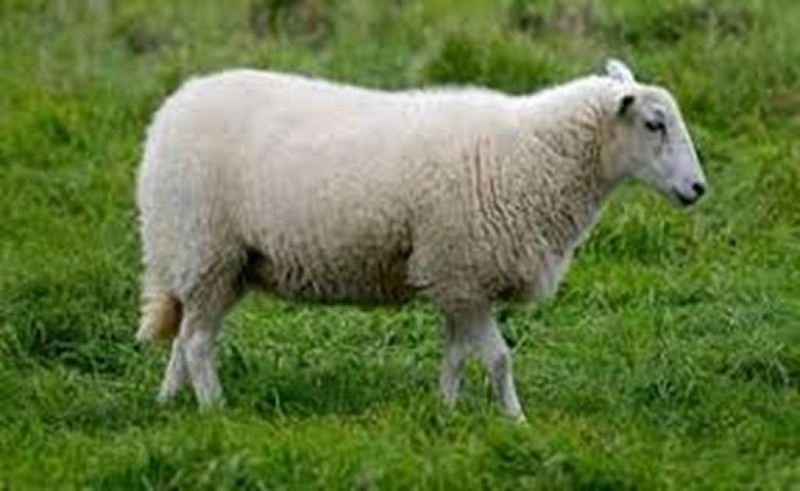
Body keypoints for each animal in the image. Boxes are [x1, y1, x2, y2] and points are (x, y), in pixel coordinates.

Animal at [135, 59, 707, 420]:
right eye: (655, 124)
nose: (698, 189)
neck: (536, 156)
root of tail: (170, 112)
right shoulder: (464, 272)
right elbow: (498, 359)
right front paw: (517, 421)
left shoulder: (457, 281)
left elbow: (456, 357)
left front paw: (445, 413)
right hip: (206, 247)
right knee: (198, 343)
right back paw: (216, 411)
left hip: (221, 262)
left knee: (185, 336)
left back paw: (168, 404)